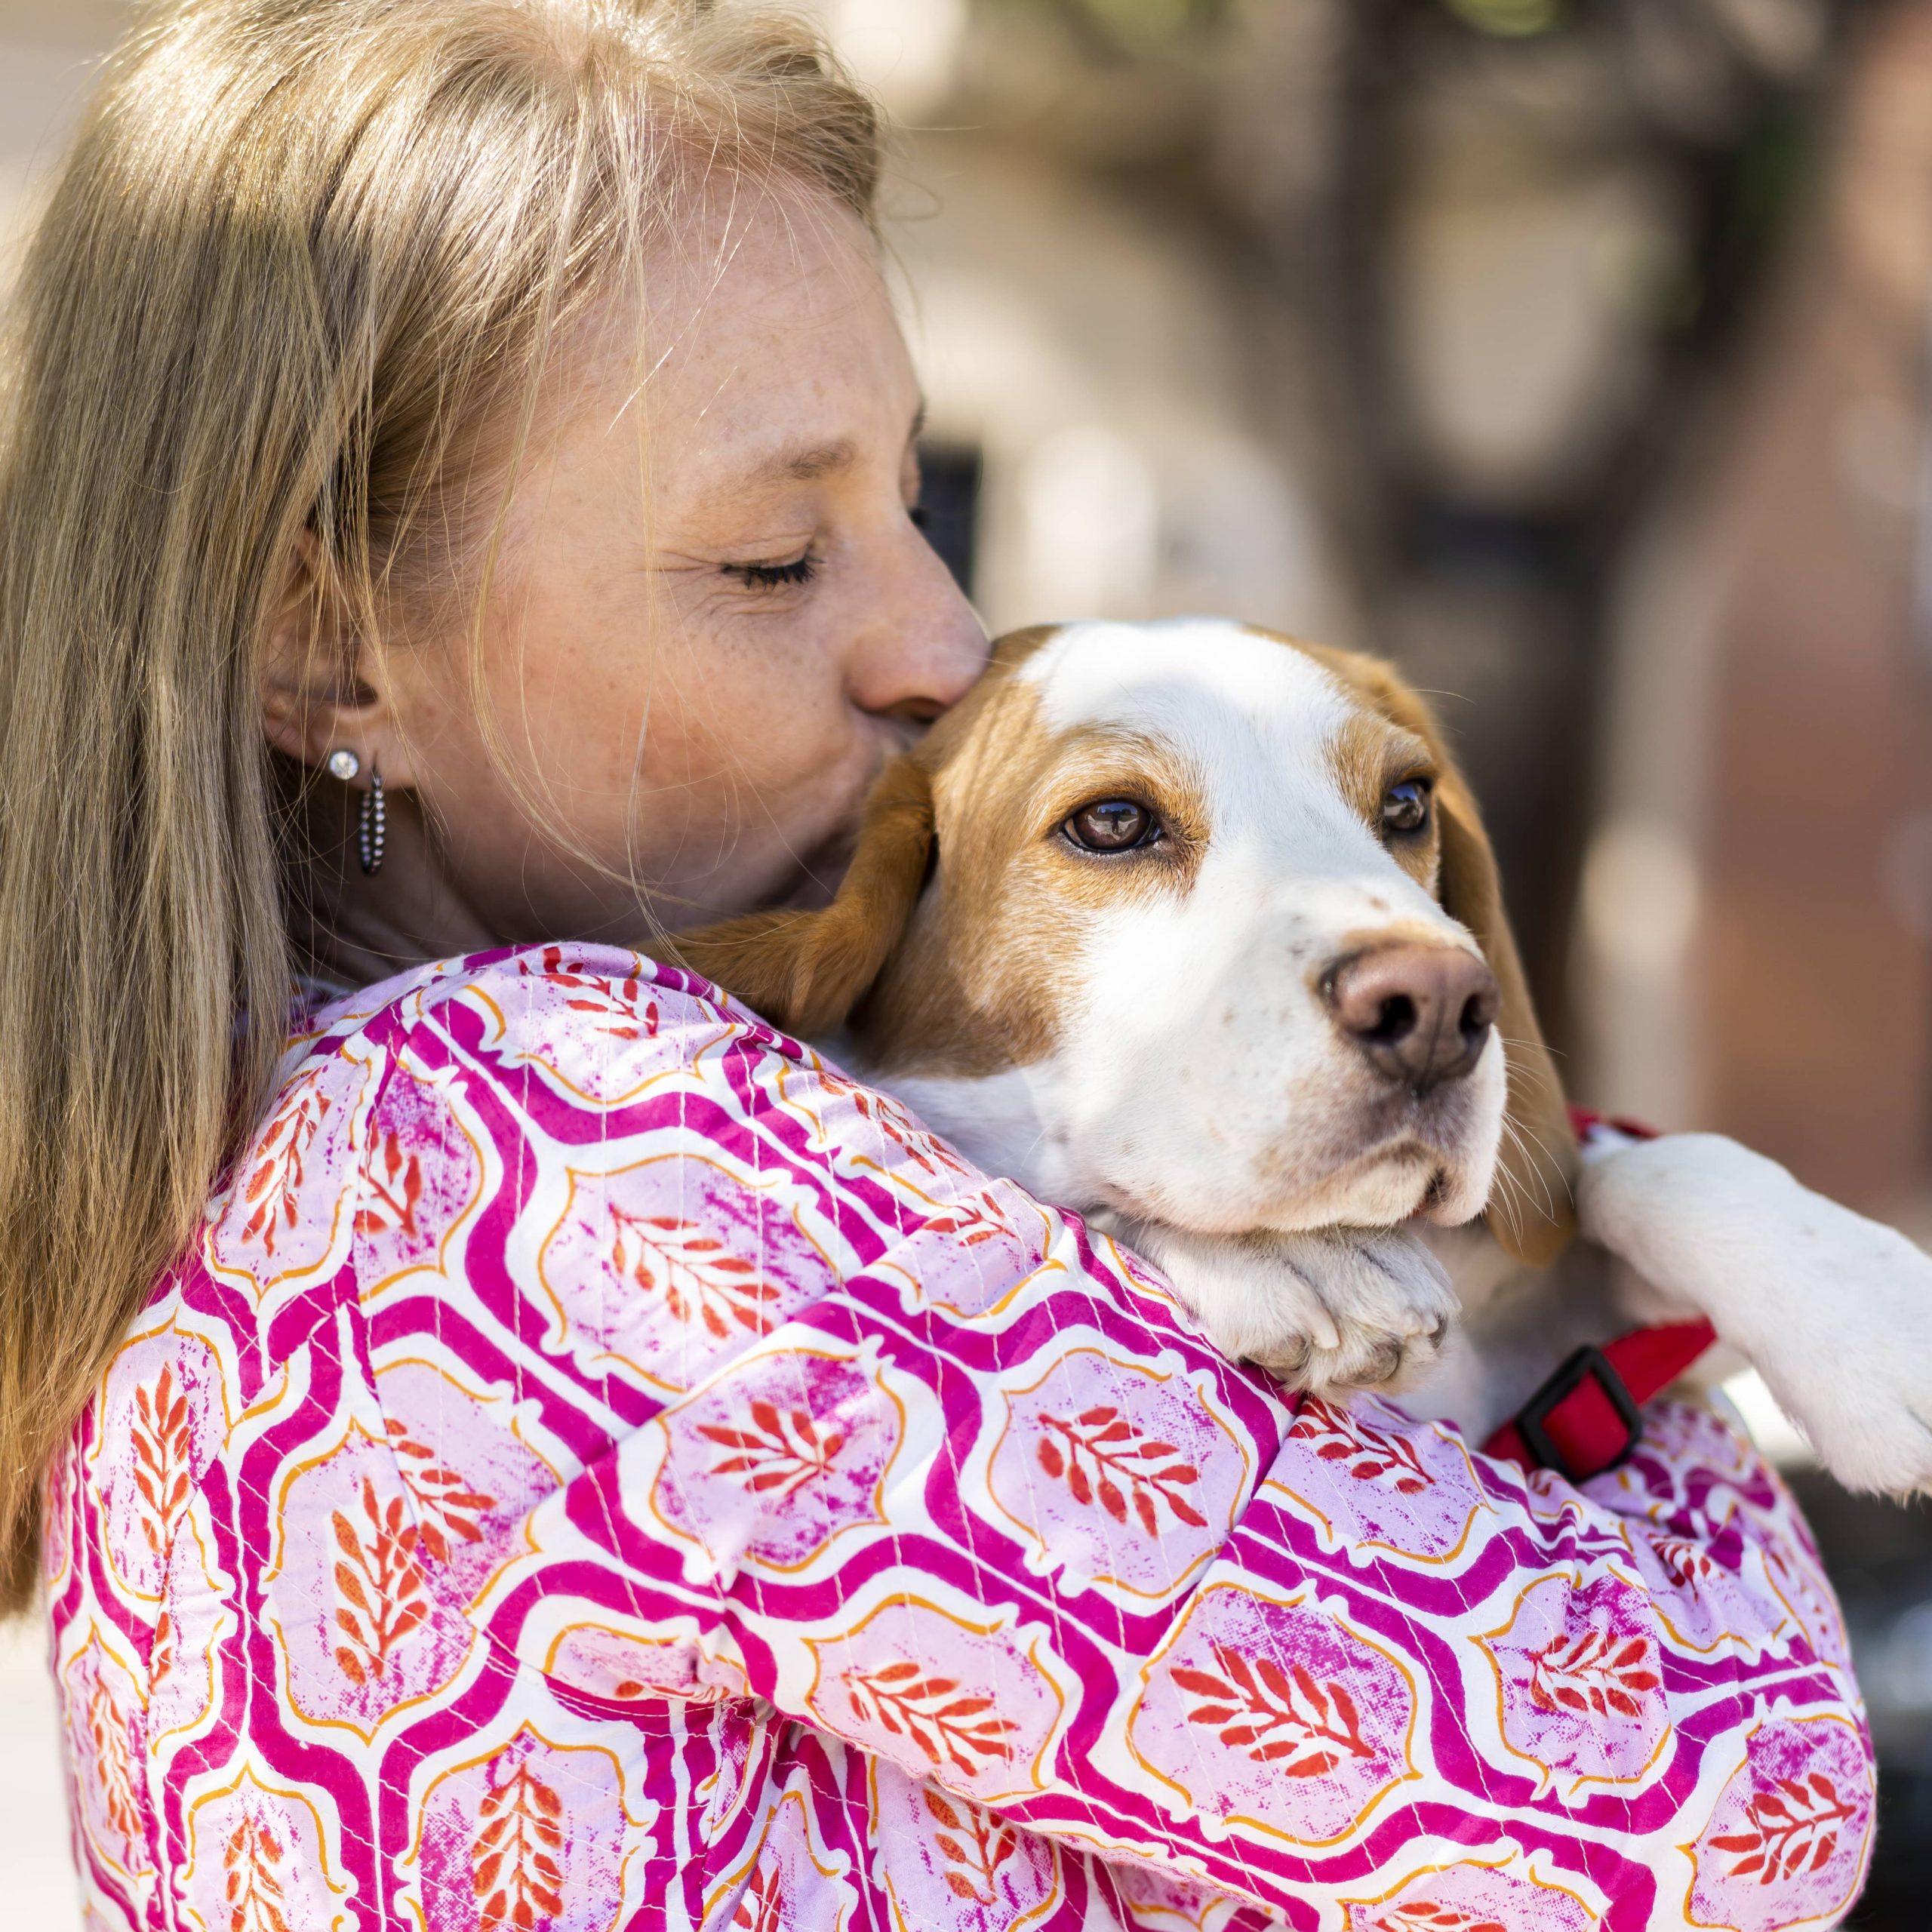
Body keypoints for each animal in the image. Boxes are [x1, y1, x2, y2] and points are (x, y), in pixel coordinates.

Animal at [676, 618, 1932, 1491]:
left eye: (1410, 800)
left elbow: (1646, 1165)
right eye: (1113, 823)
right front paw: (1311, 1262)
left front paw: (1870, 1322)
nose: (1438, 1006)